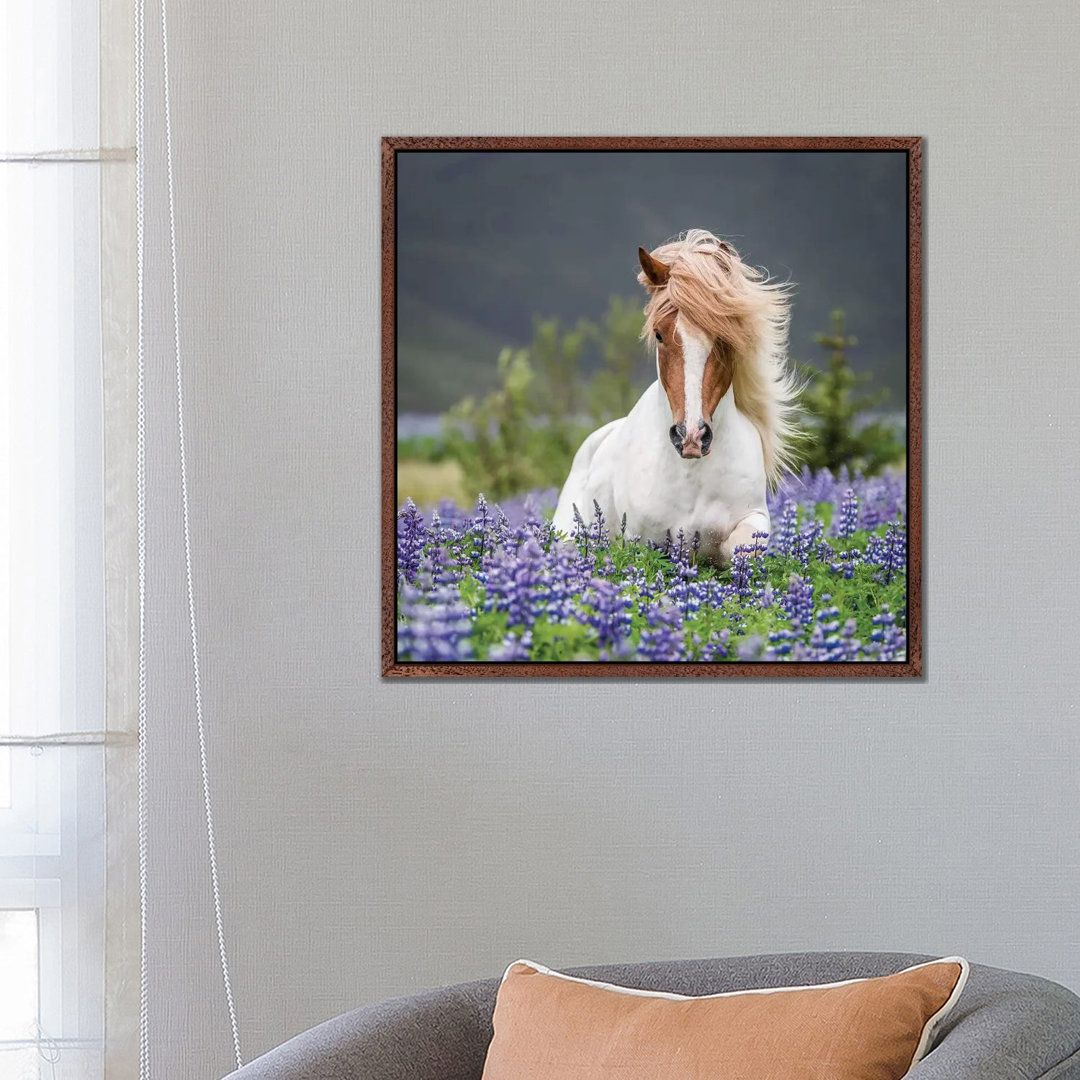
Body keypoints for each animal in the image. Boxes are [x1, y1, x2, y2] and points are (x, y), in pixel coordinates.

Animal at [552, 227, 799, 565]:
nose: (691, 436)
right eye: (659, 334)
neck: (691, 473)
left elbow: (744, 549)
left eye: (726, 338)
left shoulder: (751, 518)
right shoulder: (645, 540)